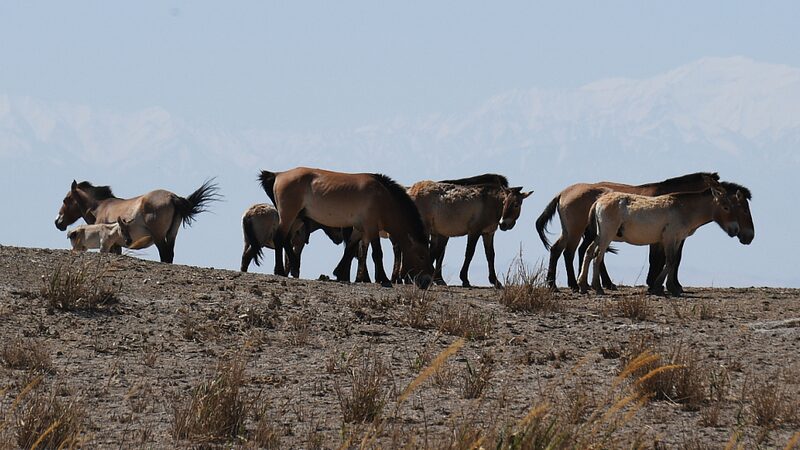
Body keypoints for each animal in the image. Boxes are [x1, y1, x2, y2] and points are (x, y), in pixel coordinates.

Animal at [55, 179, 220, 263]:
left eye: (65, 199)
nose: (58, 222)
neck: (101, 206)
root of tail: (172, 197)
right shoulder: (117, 245)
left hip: (159, 237)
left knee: (165, 255)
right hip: (172, 235)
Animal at [258, 167, 433, 289]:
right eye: (421, 256)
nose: (427, 281)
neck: (383, 198)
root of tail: (279, 174)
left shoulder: (359, 228)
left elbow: (351, 249)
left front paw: (339, 272)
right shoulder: (371, 226)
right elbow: (377, 253)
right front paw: (383, 278)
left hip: (296, 218)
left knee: (286, 240)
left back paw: (293, 266)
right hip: (289, 216)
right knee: (280, 238)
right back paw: (280, 271)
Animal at [404, 174, 532, 288]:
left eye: (516, 204)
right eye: (504, 202)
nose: (503, 224)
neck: (490, 203)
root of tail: (411, 191)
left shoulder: (488, 233)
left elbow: (490, 255)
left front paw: (495, 281)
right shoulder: (474, 231)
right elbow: (469, 253)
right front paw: (465, 279)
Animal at [536, 172, 721, 291]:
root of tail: (563, 193)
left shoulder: (675, 239)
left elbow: (675, 259)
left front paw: (673, 284)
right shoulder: (662, 239)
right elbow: (658, 259)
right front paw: (655, 283)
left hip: (573, 231)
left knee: (561, 250)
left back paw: (557, 284)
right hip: (577, 230)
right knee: (571, 252)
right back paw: (575, 284)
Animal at [577, 176, 747, 296]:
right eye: (726, 207)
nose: (735, 230)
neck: (683, 208)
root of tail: (598, 201)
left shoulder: (677, 239)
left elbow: (673, 261)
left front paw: (671, 287)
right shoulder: (670, 238)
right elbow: (670, 261)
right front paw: (660, 287)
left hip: (599, 235)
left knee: (589, 252)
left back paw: (583, 285)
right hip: (607, 234)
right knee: (598, 256)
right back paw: (598, 288)